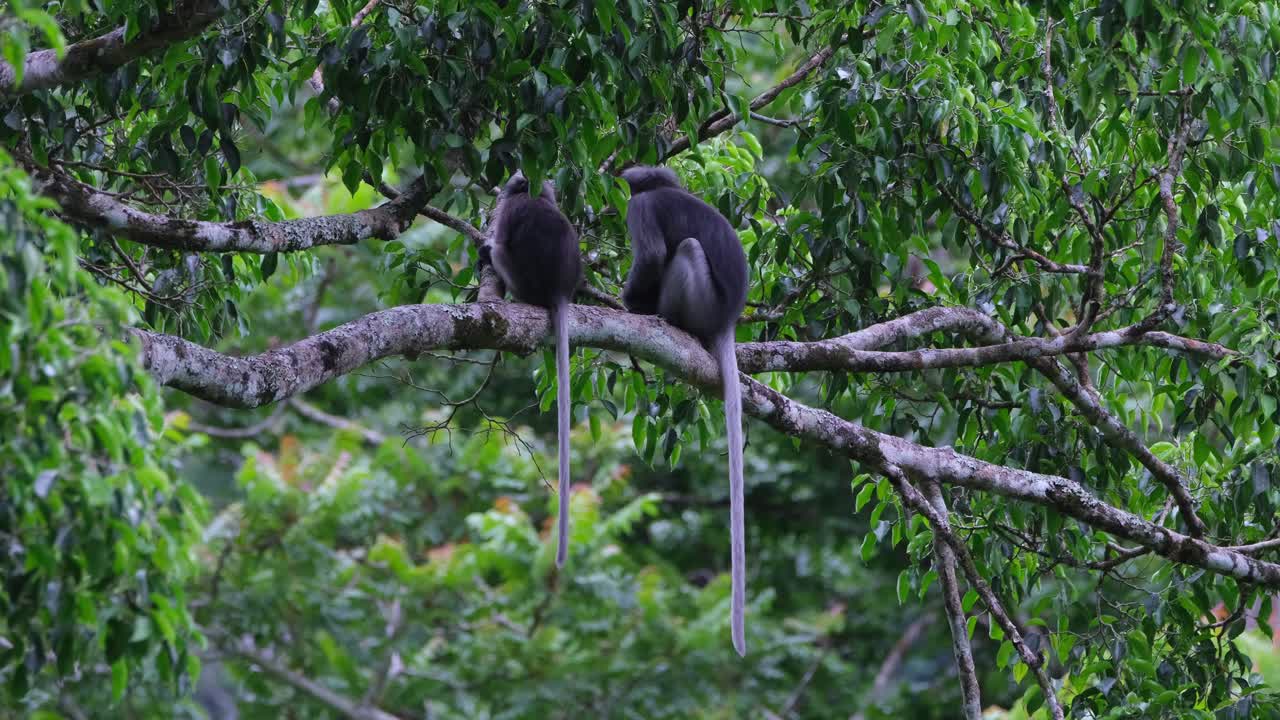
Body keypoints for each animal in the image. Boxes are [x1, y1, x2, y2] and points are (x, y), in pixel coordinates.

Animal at [617, 165, 750, 656]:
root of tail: (726, 319)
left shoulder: (641, 209)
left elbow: (654, 256)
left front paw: (631, 301)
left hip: (700, 302)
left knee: (686, 251)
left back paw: (665, 318)